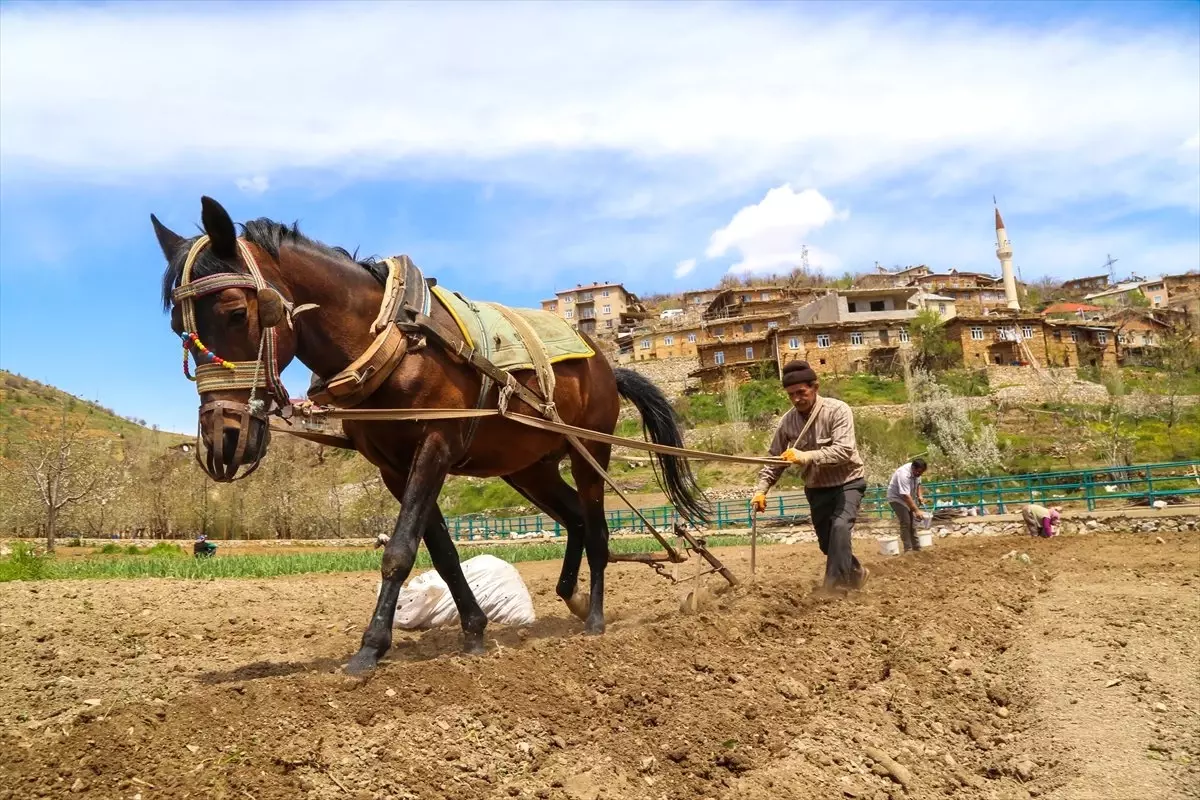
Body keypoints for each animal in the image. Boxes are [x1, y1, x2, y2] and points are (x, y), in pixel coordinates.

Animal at [153, 196, 705, 671]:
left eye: (235, 312)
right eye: (180, 328)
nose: (221, 444)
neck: (393, 338)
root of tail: (607, 367)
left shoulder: (435, 445)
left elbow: (399, 549)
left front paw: (369, 649)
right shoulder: (394, 467)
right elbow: (439, 550)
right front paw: (474, 630)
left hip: (590, 450)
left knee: (596, 528)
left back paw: (593, 620)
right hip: (529, 467)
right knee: (572, 518)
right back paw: (569, 597)